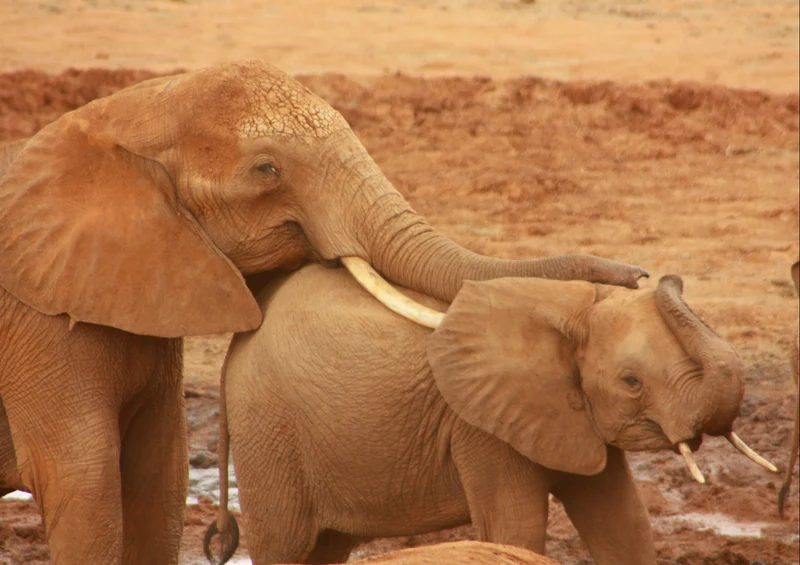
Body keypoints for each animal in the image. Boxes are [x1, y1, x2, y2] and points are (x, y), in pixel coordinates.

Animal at [0, 59, 650, 565]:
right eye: (266, 170)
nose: (640, 275)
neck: (123, 111)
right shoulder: (39, 325)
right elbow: (85, 482)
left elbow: (158, 478)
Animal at [206, 263, 776, 565]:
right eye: (631, 382)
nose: (655, 275)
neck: (570, 308)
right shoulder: (481, 428)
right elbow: (514, 529)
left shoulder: (570, 417)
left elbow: (623, 522)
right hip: (268, 433)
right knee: (284, 545)